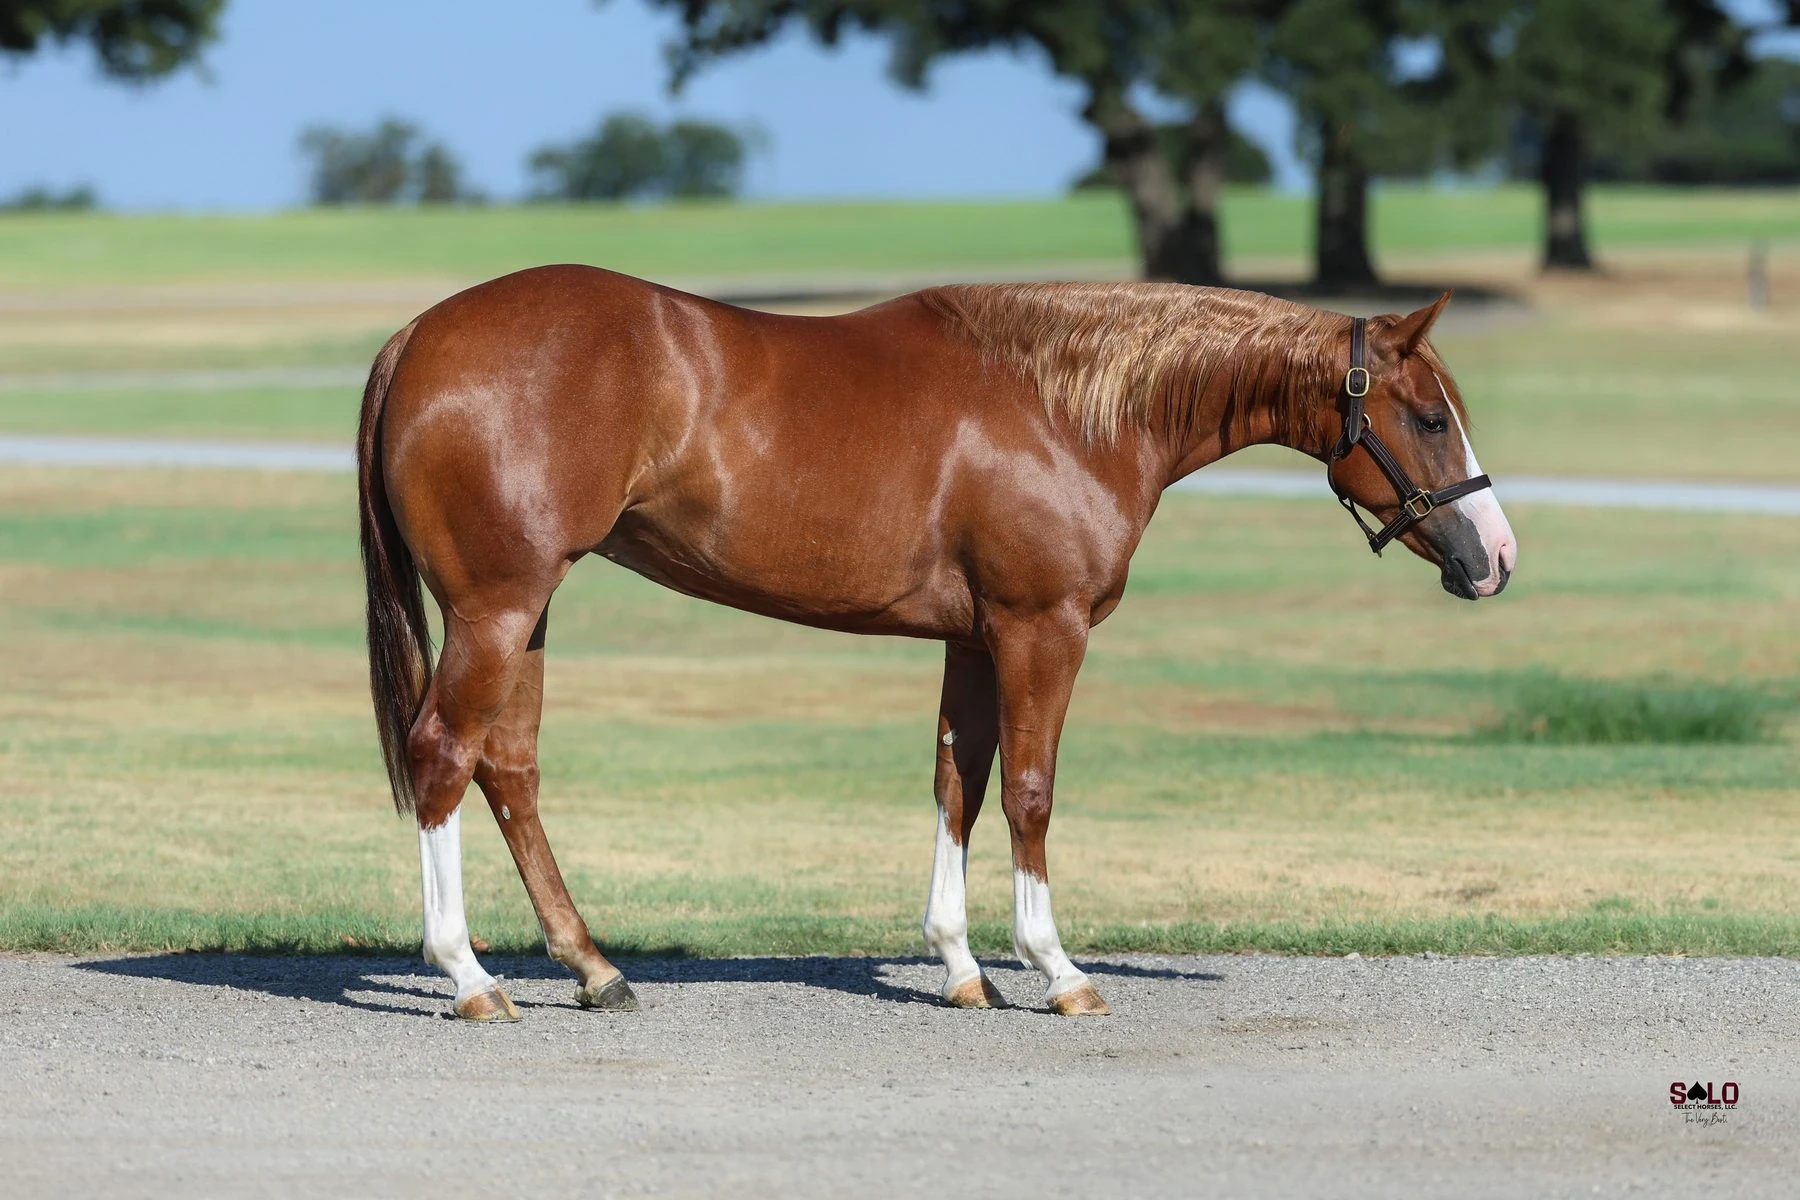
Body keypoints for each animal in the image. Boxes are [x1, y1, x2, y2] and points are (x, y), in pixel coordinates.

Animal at [356, 268, 1516, 1020]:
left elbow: (960, 782)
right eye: (1426, 417)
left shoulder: (975, 639)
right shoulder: (1041, 629)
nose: (1496, 556)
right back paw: (469, 977)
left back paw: (594, 970)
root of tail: (416, 337)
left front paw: (962, 965)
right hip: (498, 609)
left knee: (509, 770)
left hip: (527, 611)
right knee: (443, 757)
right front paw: (1056, 969)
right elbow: (1030, 793)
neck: (1064, 406)